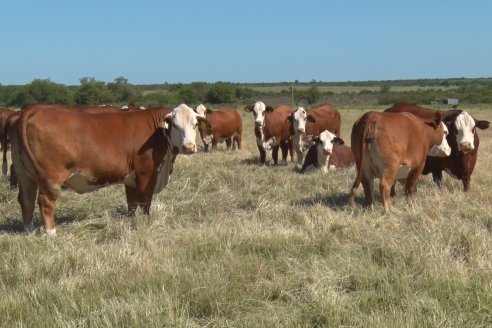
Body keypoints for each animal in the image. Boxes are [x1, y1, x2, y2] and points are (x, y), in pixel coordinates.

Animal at [7, 104, 211, 234]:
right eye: (175, 125)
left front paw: (132, 222)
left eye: (194, 124)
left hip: (24, 174)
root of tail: (32, 109)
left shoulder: (131, 177)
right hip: (51, 177)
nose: (189, 147)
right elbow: (145, 202)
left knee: (26, 200)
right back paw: (51, 233)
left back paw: (28, 231)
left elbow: (132, 204)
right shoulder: (147, 174)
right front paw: (146, 224)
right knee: (45, 202)